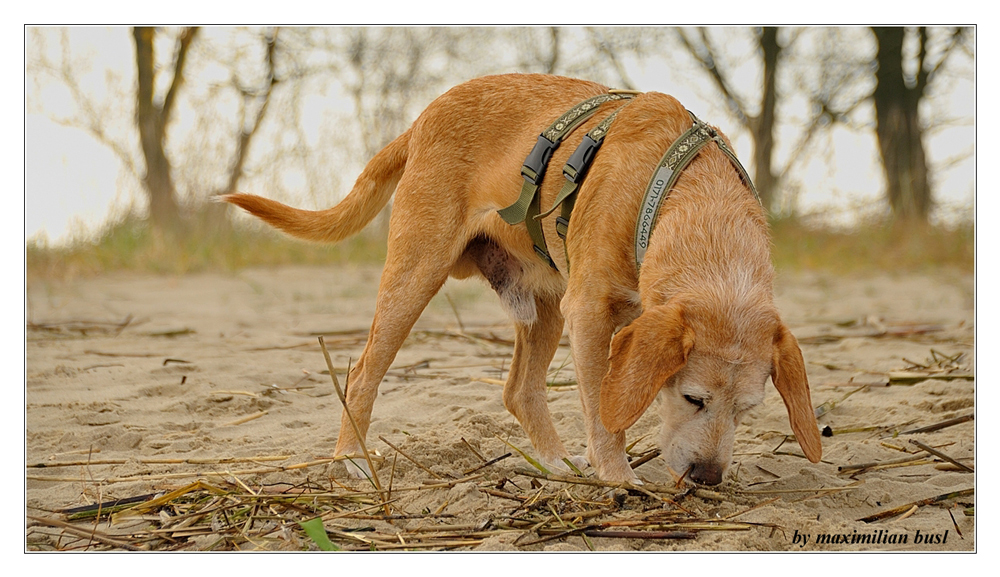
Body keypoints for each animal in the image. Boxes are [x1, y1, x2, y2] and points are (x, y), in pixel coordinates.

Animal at [223, 73, 824, 486]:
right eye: (692, 398)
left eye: (748, 410)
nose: (706, 477)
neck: (685, 195)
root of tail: (422, 119)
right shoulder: (591, 313)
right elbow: (603, 412)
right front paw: (618, 476)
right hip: (417, 276)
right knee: (362, 372)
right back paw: (351, 460)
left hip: (544, 306)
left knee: (519, 391)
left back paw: (556, 464)